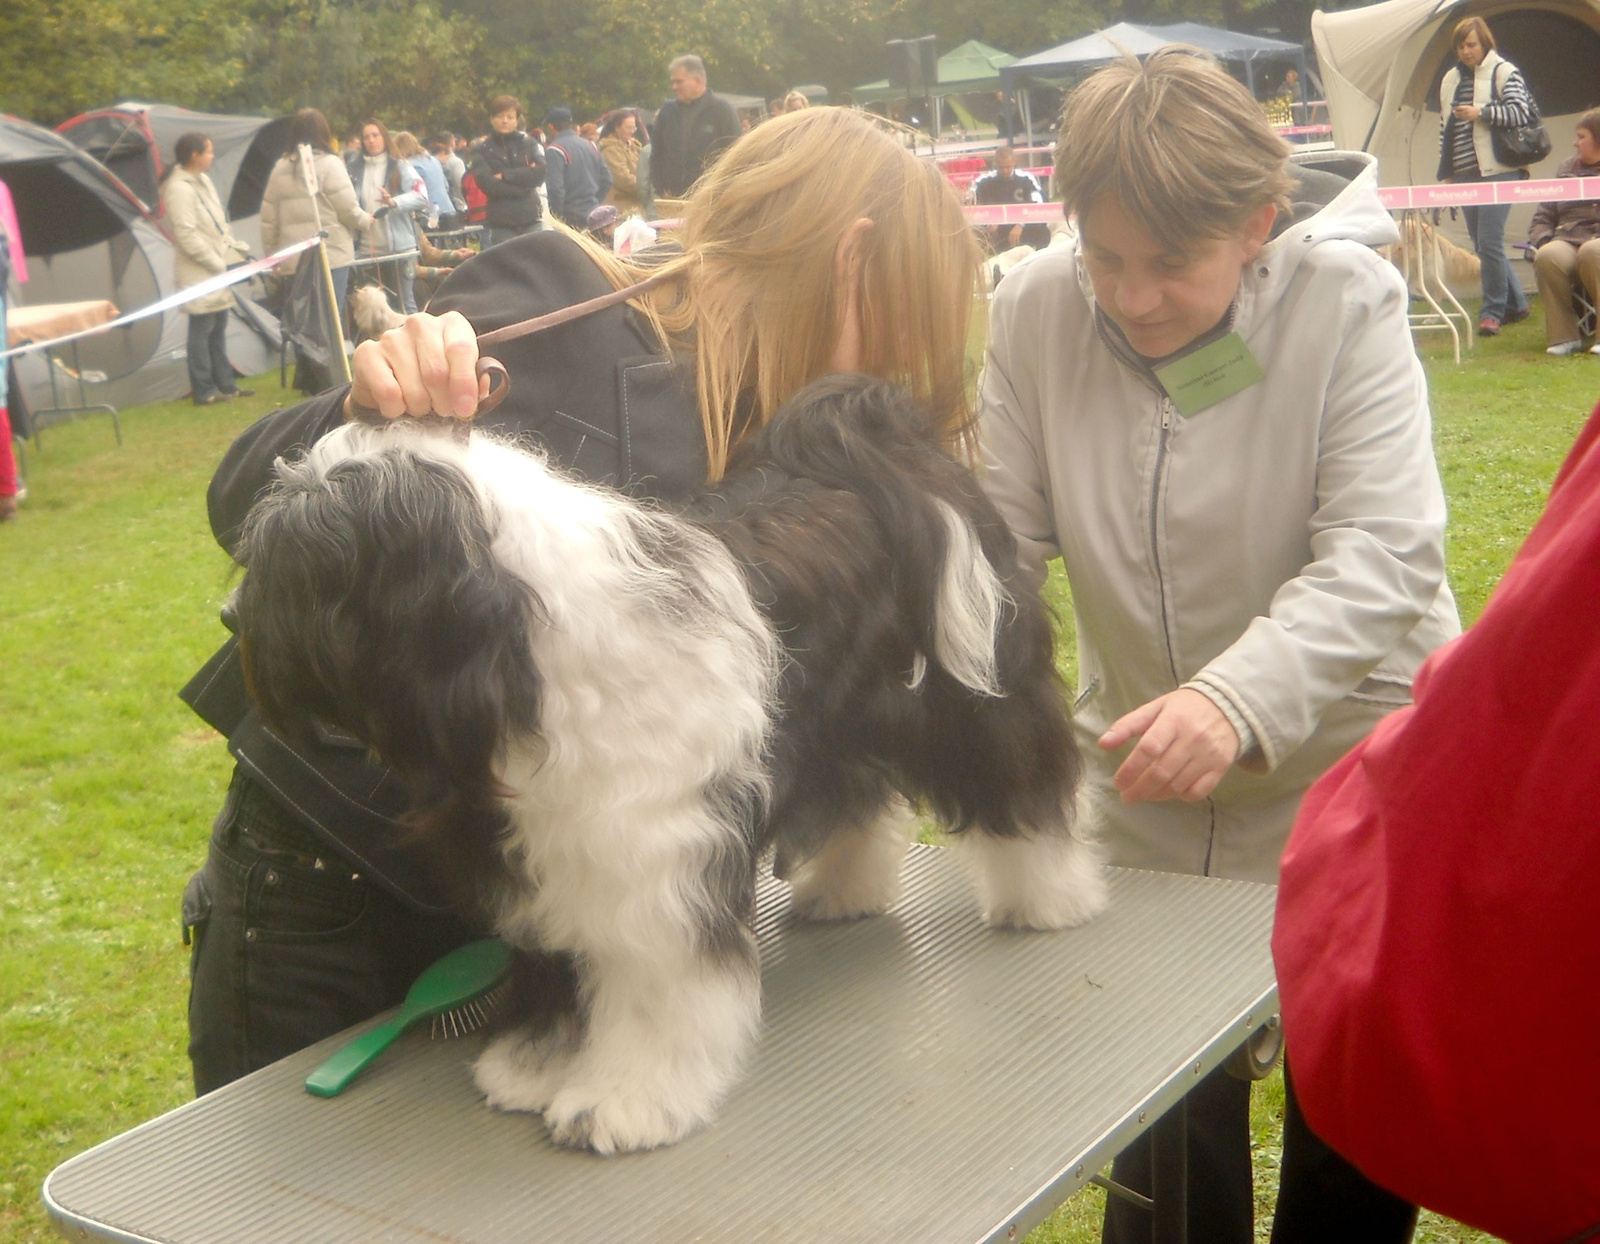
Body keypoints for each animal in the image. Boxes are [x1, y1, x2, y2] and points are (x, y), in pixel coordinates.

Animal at [232, 375, 1100, 1151]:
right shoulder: (547, 857)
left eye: (307, 567)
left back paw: (1047, 896)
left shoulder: (653, 866)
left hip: (974, 698)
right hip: (842, 720)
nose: (230, 612)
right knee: (861, 798)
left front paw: (621, 1103)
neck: (521, 643)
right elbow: (559, 968)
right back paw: (846, 890)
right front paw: (536, 1062)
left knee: (1027, 784)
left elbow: (656, 997)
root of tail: (893, 453)